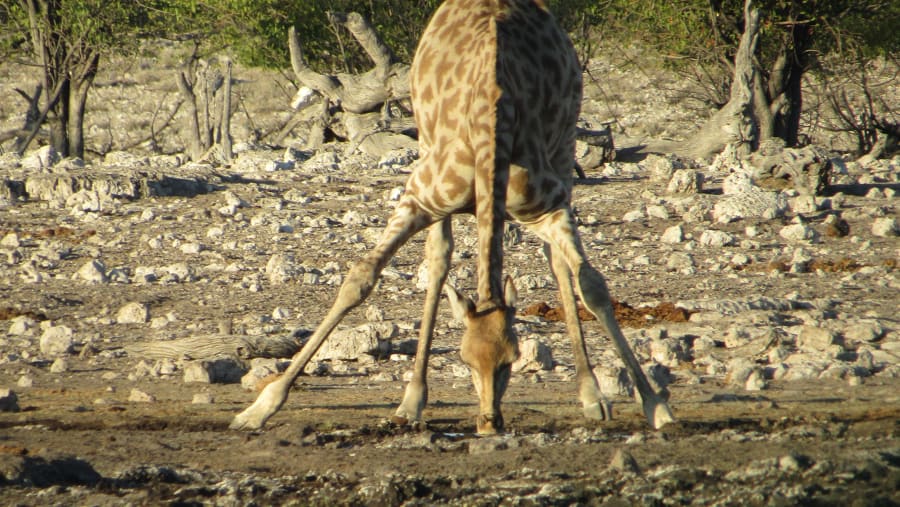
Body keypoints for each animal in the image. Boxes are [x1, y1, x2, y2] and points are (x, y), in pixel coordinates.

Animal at [231, 0, 675, 434]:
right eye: (464, 360)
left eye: (512, 359)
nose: (489, 422)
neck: (491, 126)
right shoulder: (418, 198)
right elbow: (360, 279)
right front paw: (260, 406)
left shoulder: (548, 205)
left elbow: (592, 285)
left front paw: (654, 404)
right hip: (427, 152)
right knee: (440, 257)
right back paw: (411, 400)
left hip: (564, 150)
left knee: (557, 262)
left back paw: (591, 394)